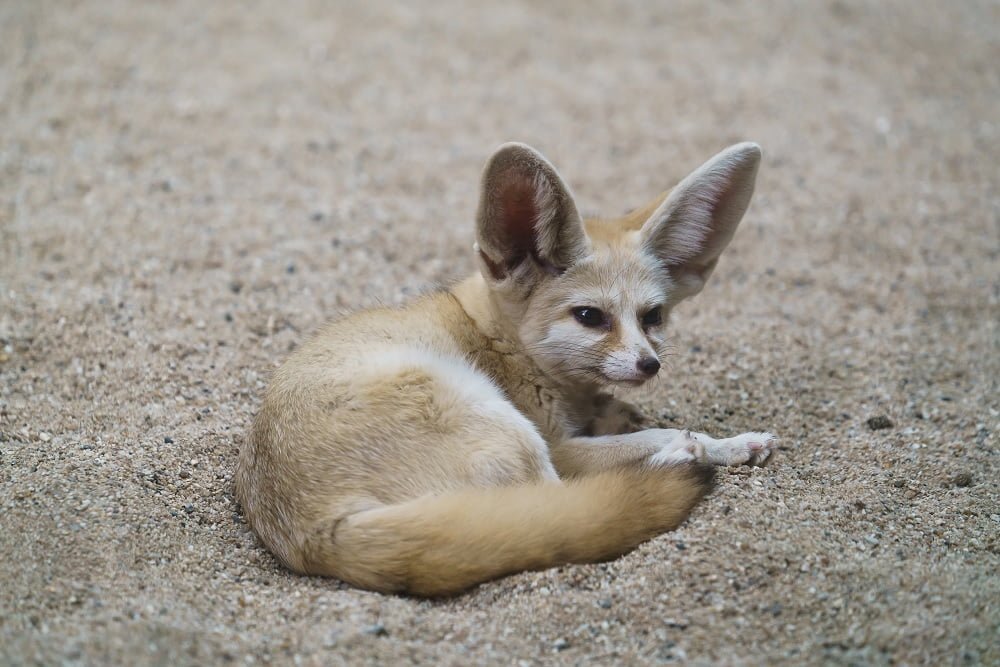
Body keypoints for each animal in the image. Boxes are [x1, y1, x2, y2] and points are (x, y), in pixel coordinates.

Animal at [234, 141, 775, 596]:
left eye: (653, 316)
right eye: (589, 317)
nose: (649, 364)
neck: (499, 338)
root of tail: (315, 535)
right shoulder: (560, 443)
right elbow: (654, 436)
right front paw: (725, 443)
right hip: (504, 427)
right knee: (562, 502)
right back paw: (677, 461)